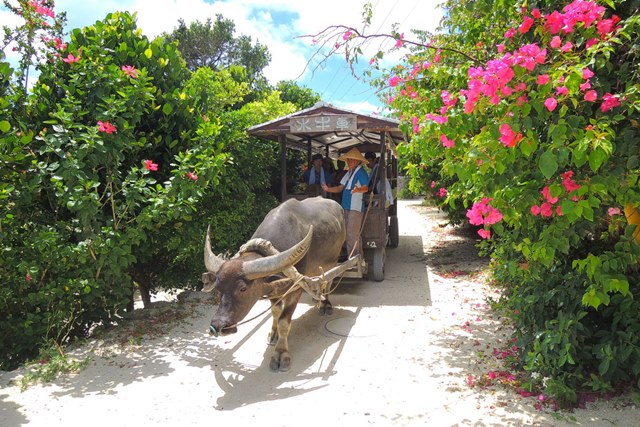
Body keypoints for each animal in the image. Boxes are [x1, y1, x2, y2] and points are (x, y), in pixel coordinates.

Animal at [201, 196, 352, 372]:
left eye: (242, 288)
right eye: (218, 289)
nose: (218, 325)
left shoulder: (295, 290)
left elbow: (283, 322)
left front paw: (281, 354)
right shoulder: (272, 291)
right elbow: (275, 312)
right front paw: (273, 333)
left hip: (333, 260)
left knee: (328, 281)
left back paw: (325, 304)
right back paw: (317, 298)